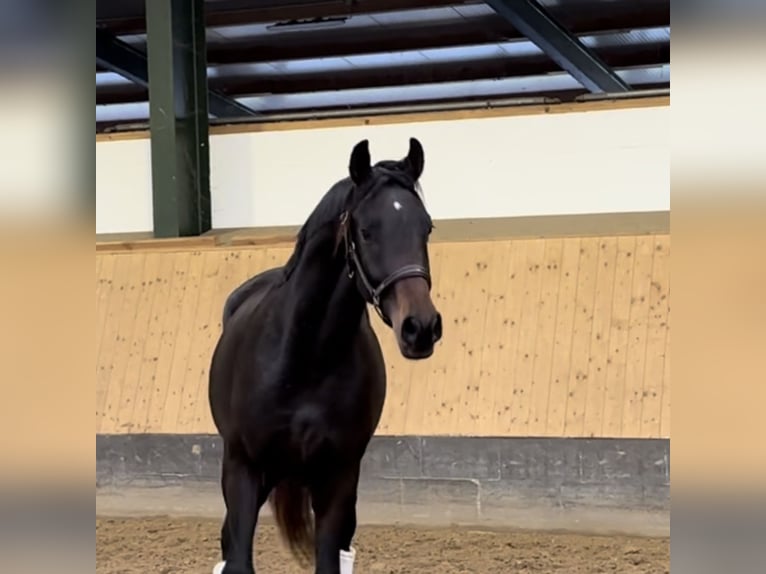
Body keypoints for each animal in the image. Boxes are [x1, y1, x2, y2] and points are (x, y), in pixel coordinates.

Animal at [207, 140, 444, 574]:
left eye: (427, 228)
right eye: (366, 231)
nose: (420, 327)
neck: (304, 358)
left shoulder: (338, 477)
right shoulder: (243, 470)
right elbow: (239, 559)